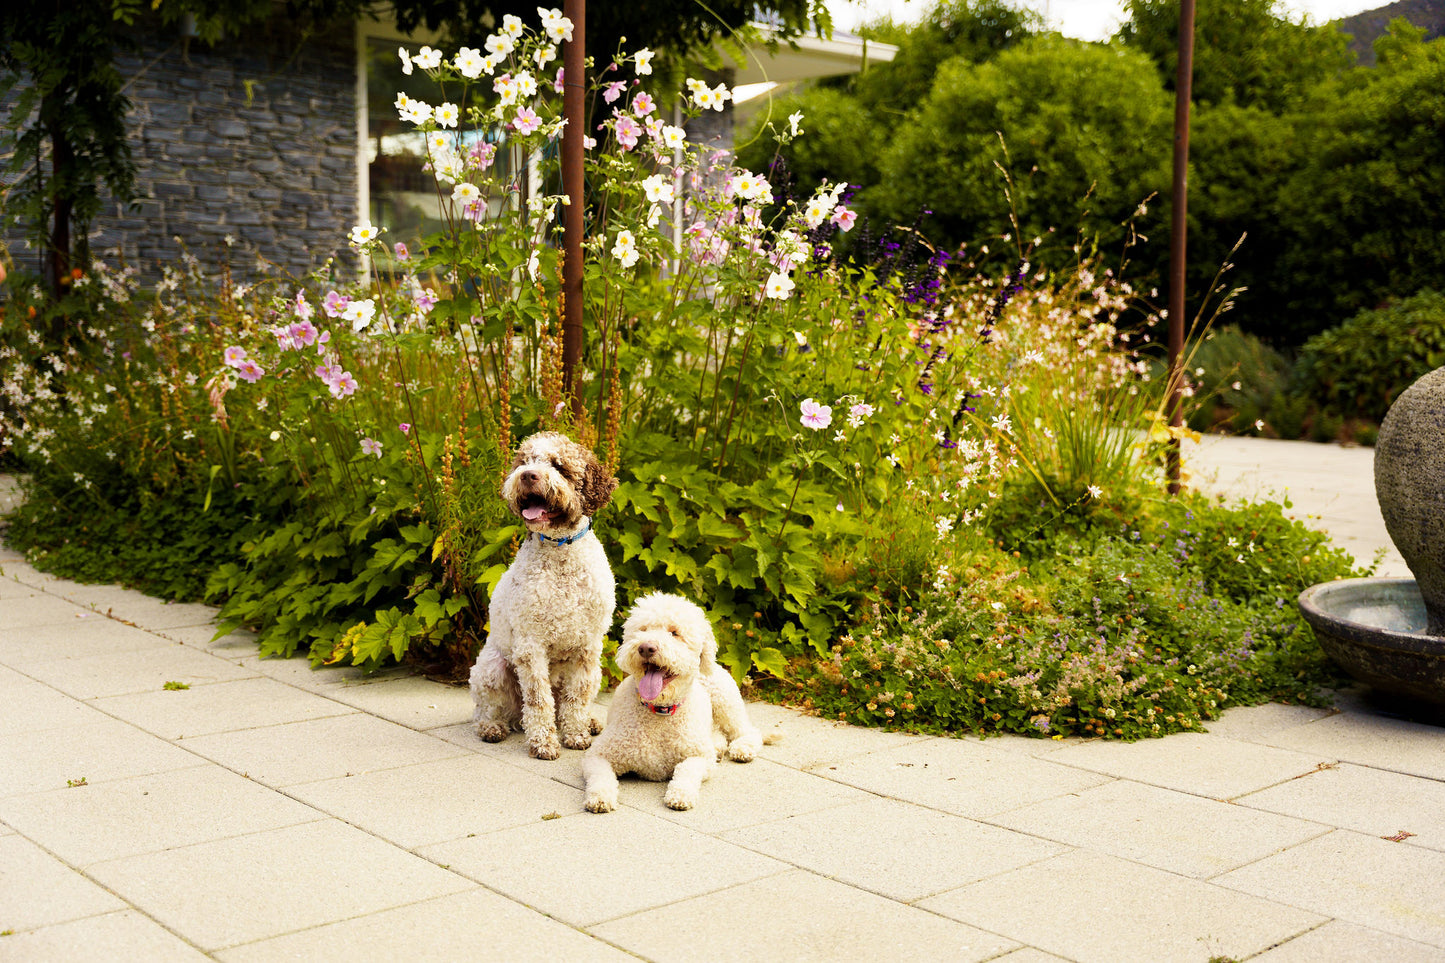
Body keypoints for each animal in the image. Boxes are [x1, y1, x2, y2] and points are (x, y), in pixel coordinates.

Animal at [468, 433, 615, 757]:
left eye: (558, 466)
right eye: (524, 462)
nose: (527, 476)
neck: (560, 553)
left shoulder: (588, 647)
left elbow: (577, 696)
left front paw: (576, 733)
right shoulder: (530, 645)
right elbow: (538, 699)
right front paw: (543, 742)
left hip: (598, 672)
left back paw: (590, 722)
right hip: (491, 668)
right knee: (490, 710)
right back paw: (492, 728)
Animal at [578, 589, 762, 803]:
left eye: (674, 633)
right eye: (643, 629)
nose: (646, 647)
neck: (660, 711)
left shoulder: (699, 757)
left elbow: (687, 769)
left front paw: (680, 794)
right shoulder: (598, 754)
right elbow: (600, 776)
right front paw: (600, 797)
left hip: (725, 702)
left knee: (747, 731)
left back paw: (742, 748)